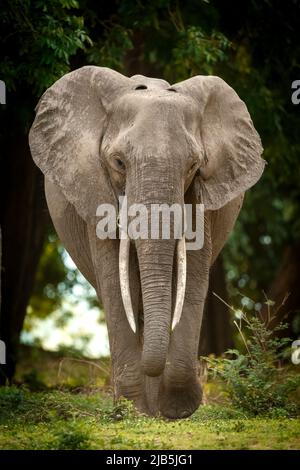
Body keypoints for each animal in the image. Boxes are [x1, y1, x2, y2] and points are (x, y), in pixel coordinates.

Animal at [28, 67, 264, 418]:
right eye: (118, 163)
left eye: (194, 166)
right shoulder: (95, 189)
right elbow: (116, 282)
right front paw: (131, 410)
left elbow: (193, 276)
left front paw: (177, 408)